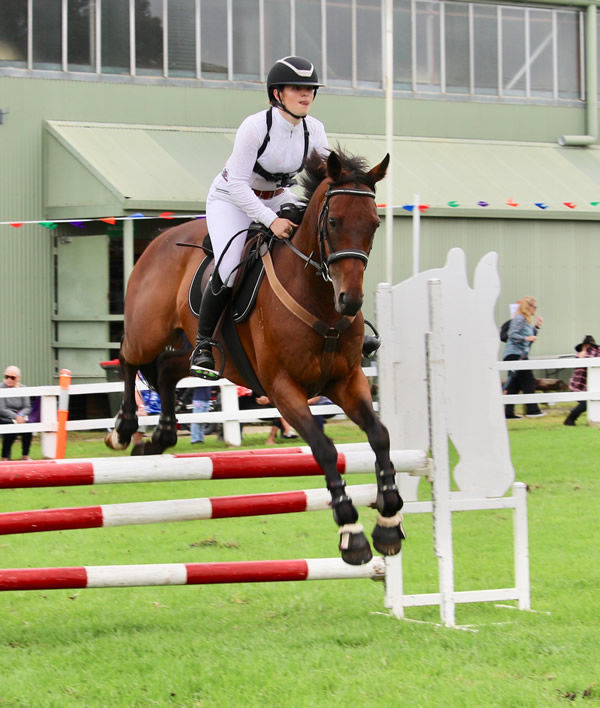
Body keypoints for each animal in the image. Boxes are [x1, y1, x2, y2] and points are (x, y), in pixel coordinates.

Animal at [106, 149, 406, 564]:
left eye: (375, 224)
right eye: (333, 221)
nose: (350, 301)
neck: (319, 300)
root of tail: (159, 238)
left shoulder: (346, 381)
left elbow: (380, 435)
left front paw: (389, 521)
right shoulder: (283, 389)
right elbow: (324, 448)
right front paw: (352, 531)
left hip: (200, 353)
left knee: (167, 370)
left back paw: (159, 437)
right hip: (148, 332)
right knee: (128, 357)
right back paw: (123, 429)